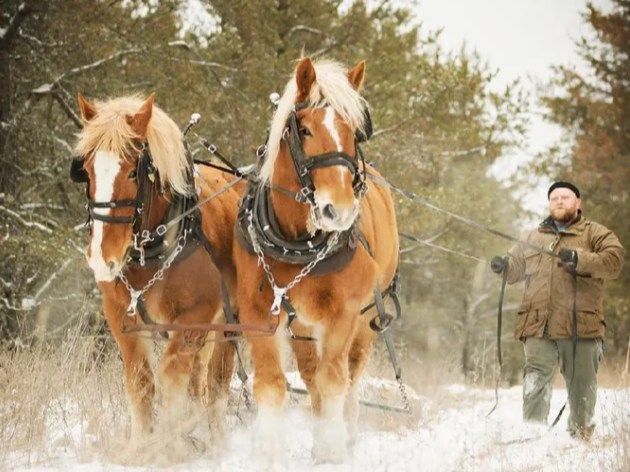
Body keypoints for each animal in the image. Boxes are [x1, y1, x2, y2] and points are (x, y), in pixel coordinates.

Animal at [72, 94, 242, 444]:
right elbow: (141, 384)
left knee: (216, 383)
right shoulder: (121, 318)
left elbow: (170, 376)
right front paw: (143, 445)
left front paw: (168, 442)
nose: (102, 257)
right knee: (199, 381)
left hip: (230, 321)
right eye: (88, 171)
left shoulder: (195, 317)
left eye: (133, 173)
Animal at [235, 58, 402, 460]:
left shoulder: (342, 315)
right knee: (310, 376)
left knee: (350, 375)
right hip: (303, 327)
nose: (337, 210)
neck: (296, 243)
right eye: (306, 130)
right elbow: (272, 384)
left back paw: (347, 433)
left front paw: (332, 450)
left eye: (353, 132)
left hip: (367, 318)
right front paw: (270, 456)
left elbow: (333, 380)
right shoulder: (258, 313)